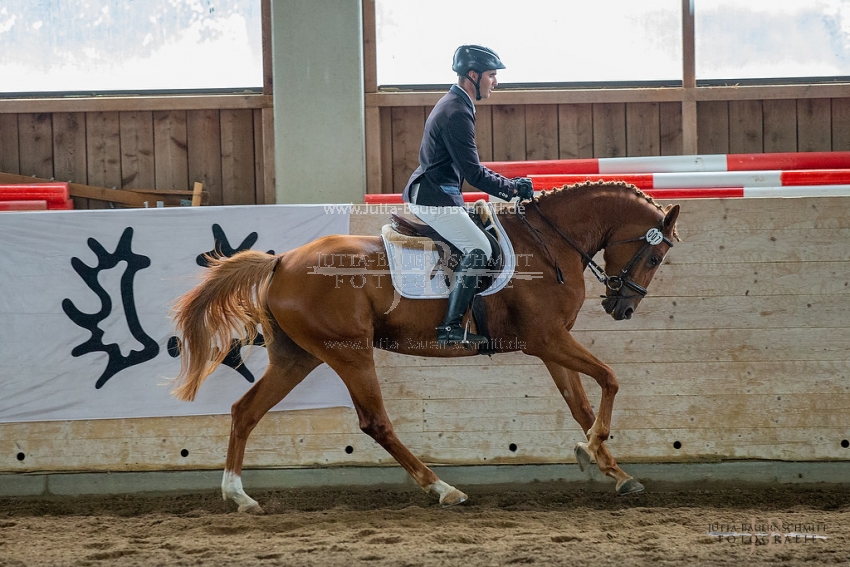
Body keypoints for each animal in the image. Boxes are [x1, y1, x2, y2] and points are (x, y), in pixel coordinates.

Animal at [171, 183, 676, 516]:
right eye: (654, 257)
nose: (621, 307)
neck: (549, 243)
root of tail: (281, 262)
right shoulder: (547, 339)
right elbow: (610, 379)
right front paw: (592, 450)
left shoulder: (552, 345)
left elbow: (581, 404)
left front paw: (613, 470)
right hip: (349, 352)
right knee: (375, 422)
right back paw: (443, 489)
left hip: (299, 357)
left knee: (245, 411)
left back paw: (239, 496)